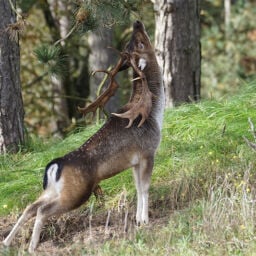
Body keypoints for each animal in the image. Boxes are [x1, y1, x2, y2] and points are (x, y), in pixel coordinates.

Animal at [3, 20, 164, 252]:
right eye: (139, 43)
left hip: (54, 190)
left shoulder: (134, 162)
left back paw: (7, 242)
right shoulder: (147, 151)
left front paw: (137, 219)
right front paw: (144, 220)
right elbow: (145, 188)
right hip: (77, 192)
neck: (154, 114)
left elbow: (137, 187)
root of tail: (55, 165)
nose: (137, 22)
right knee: (42, 210)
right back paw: (32, 247)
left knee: (31, 206)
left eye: (133, 42)